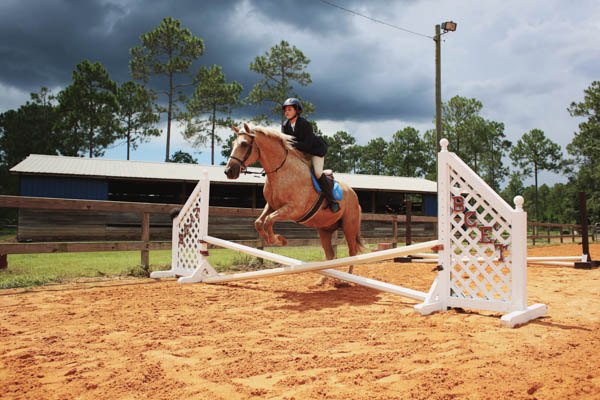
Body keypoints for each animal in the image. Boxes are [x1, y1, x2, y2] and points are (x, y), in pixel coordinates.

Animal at [225, 123, 366, 276]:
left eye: (244, 144)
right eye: (232, 144)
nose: (229, 171)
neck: (280, 171)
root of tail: (354, 195)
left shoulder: (293, 209)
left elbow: (269, 220)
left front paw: (279, 240)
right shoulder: (272, 206)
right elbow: (259, 222)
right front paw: (276, 240)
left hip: (349, 227)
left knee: (352, 253)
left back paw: (346, 278)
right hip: (325, 229)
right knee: (330, 256)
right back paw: (322, 280)